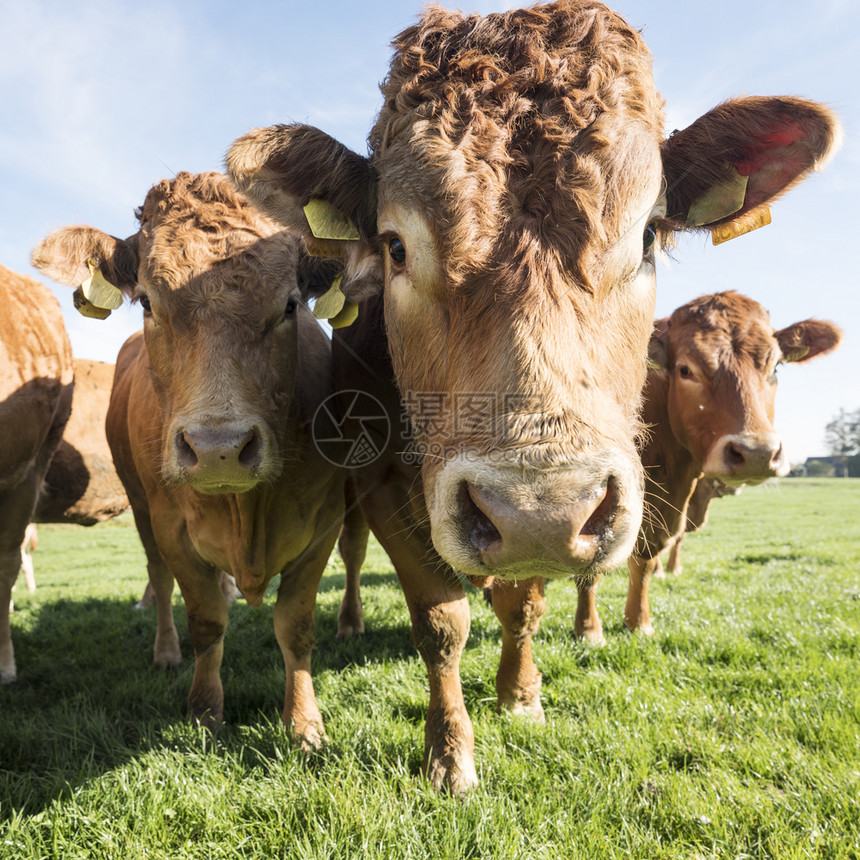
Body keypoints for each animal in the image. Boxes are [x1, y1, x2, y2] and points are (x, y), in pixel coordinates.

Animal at [32, 171, 350, 744]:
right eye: (147, 303)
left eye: (291, 305)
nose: (218, 449)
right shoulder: (172, 528)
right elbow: (206, 621)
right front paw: (205, 711)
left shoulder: (324, 525)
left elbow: (295, 625)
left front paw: (303, 723)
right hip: (140, 507)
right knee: (159, 581)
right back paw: (165, 651)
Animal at [572, 292, 840, 640]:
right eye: (686, 370)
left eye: (776, 367)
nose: (756, 452)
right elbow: (589, 566)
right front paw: (588, 629)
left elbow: (646, 561)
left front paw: (638, 621)